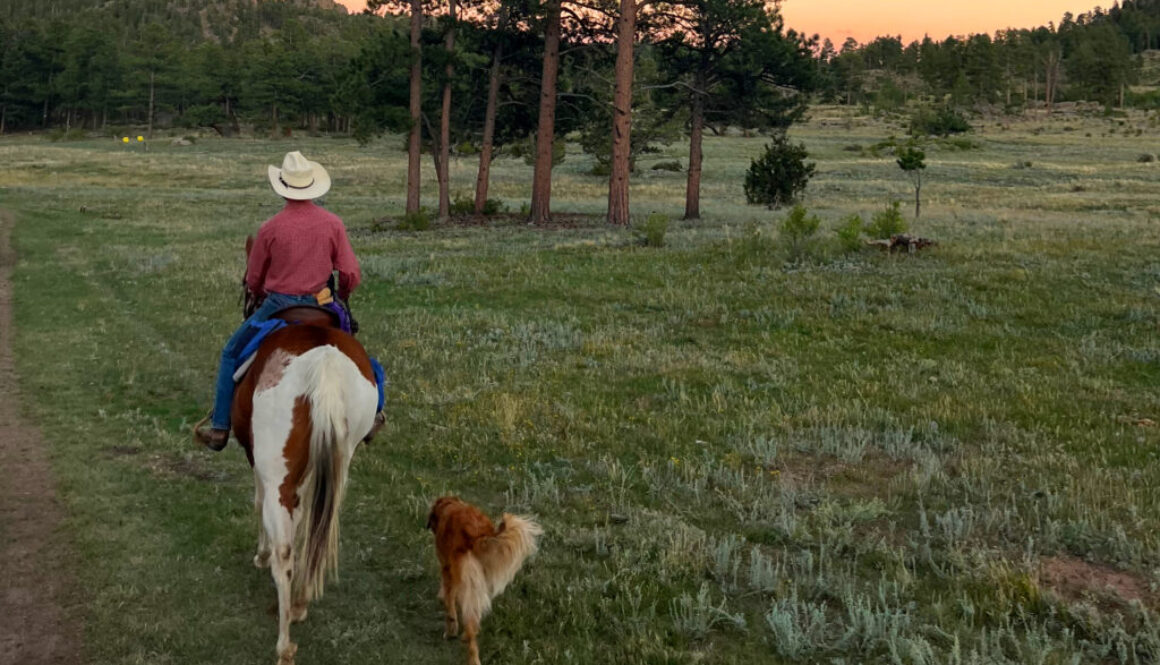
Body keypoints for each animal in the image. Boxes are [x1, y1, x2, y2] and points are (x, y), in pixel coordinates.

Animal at [233, 240, 378, 663]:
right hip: (338, 460)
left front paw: (260, 555)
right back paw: (298, 602)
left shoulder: (258, 463)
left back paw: (284, 643)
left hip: (278, 474)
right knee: (318, 527)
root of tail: (323, 366)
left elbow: (259, 505)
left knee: (284, 546)